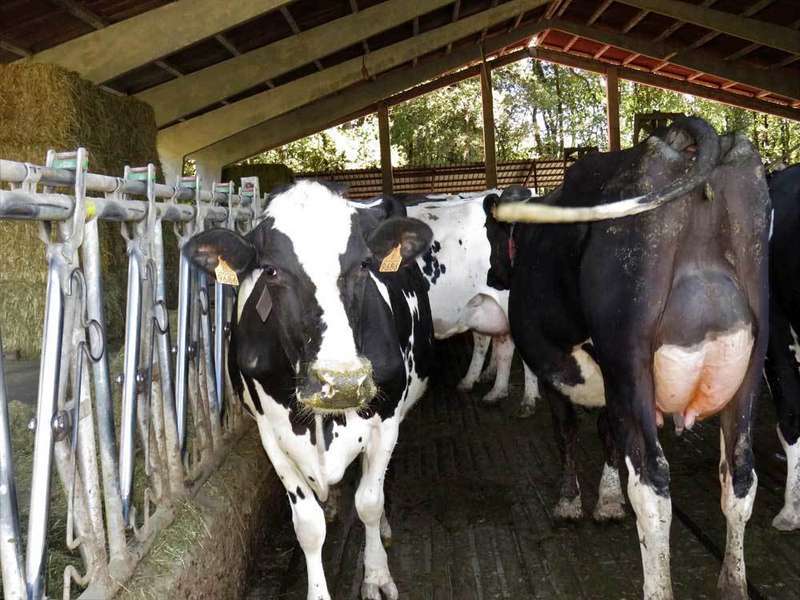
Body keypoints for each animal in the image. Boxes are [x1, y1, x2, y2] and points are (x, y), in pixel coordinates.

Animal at [183, 181, 434, 600]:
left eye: (365, 264)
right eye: (271, 271)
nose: (343, 382)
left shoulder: (387, 422)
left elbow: (369, 500)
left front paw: (376, 574)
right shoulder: (271, 435)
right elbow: (308, 525)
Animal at [487, 117, 769, 600]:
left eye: (492, 235)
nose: (491, 274)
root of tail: (683, 133)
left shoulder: (561, 369)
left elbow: (568, 432)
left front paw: (570, 501)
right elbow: (605, 434)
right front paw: (606, 499)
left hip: (630, 362)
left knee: (653, 484)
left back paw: (659, 587)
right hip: (750, 364)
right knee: (739, 474)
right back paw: (733, 582)